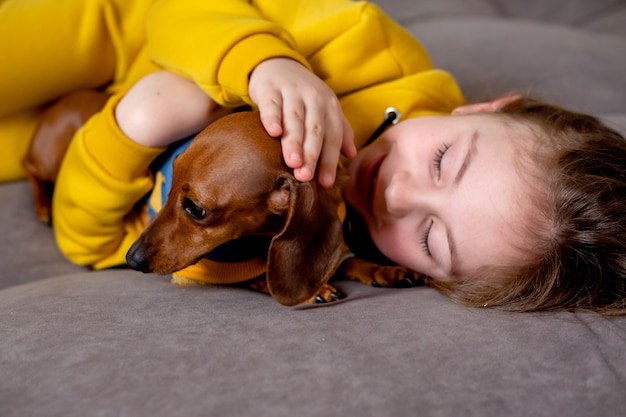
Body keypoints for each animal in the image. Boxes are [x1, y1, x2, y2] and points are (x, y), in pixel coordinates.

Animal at [124, 112, 422, 304]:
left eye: (196, 209)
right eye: (170, 184)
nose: (132, 259)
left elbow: (350, 261)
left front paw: (385, 269)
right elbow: (260, 278)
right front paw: (318, 290)